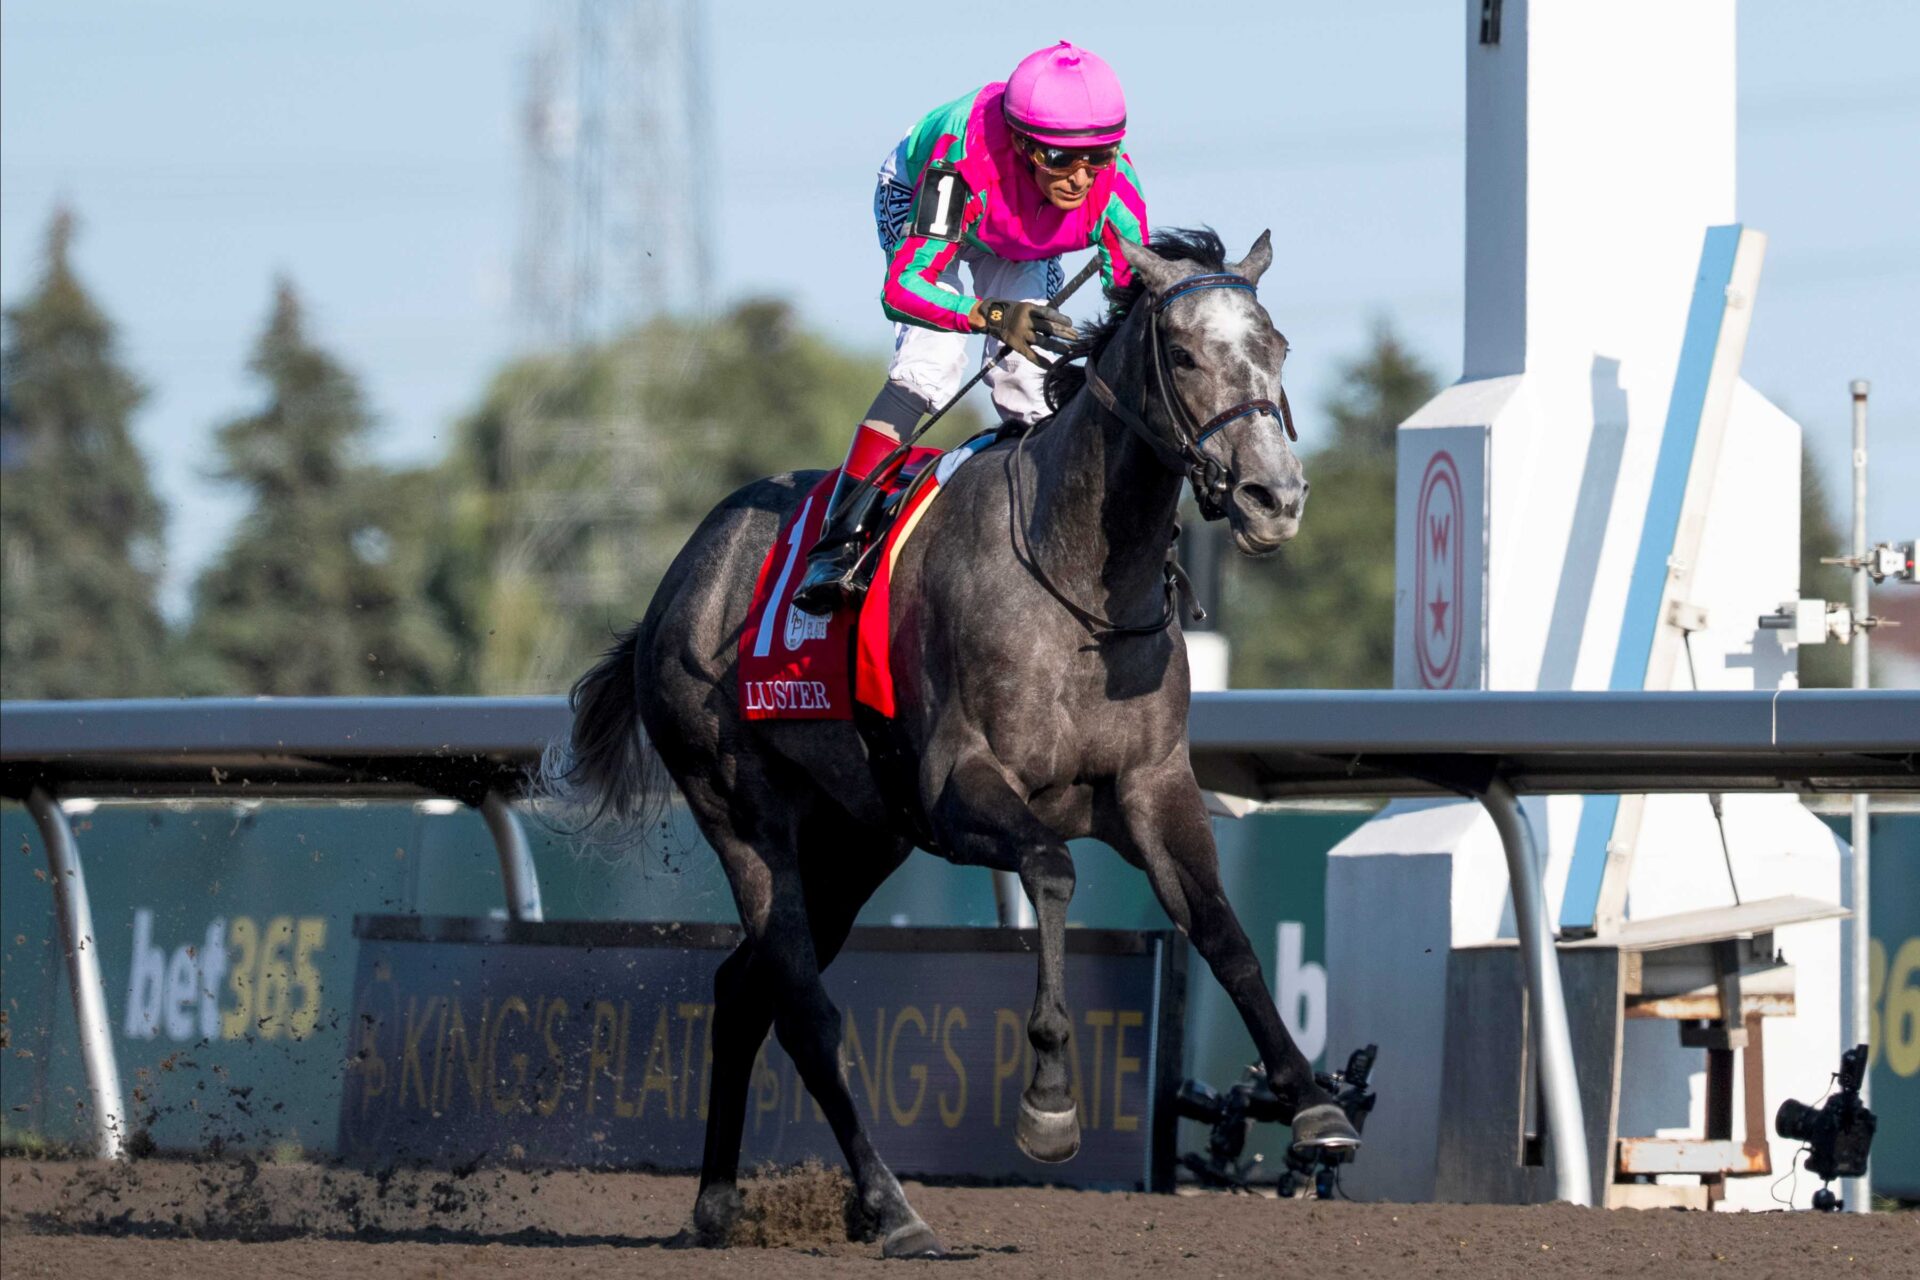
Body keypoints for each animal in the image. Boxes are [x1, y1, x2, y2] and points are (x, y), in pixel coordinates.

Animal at [548, 228, 1357, 1257]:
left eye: (1278, 346)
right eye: (1180, 354)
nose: (1273, 496)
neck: (1076, 582)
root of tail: (680, 577)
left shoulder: (1152, 785)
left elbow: (1223, 931)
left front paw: (1313, 1102)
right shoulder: (960, 790)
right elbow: (1052, 871)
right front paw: (1048, 1099)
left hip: (857, 837)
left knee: (743, 988)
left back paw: (717, 1205)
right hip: (740, 806)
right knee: (802, 1005)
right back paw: (892, 1205)